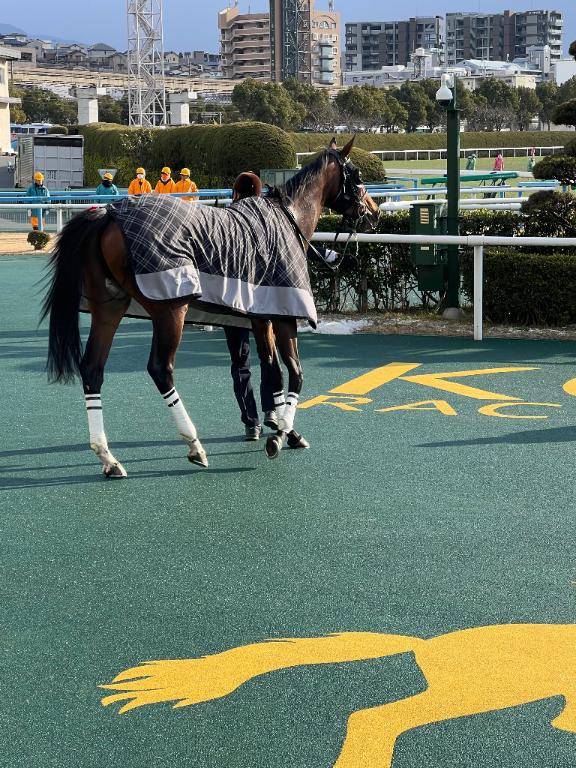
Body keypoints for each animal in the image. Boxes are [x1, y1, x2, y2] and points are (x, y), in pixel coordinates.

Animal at [41, 137, 380, 478]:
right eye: (357, 173)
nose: (374, 211)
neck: (289, 218)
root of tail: (108, 215)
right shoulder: (285, 314)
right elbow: (295, 373)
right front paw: (281, 434)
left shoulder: (261, 314)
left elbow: (272, 370)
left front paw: (284, 429)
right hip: (170, 308)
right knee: (160, 369)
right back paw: (194, 445)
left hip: (109, 306)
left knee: (92, 368)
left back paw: (108, 458)